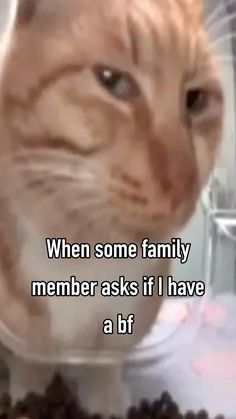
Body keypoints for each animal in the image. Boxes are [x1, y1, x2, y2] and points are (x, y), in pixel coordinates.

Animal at [0, 0, 224, 416]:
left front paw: (105, 399)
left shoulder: (120, 332)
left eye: (196, 99)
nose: (183, 184)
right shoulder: (23, 338)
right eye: (112, 81)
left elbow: (102, 367)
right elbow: (31, 365)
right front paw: (26, 395)